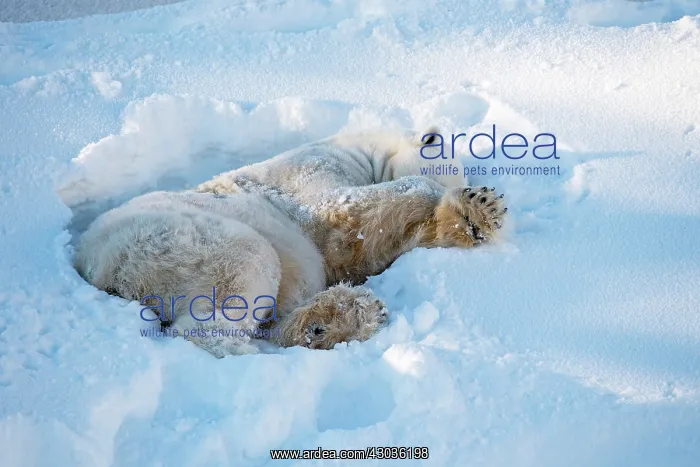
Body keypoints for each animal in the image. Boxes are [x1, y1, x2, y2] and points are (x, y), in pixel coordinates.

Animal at [73, 127, 507, 357]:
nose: (462, 189)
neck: (356, 147)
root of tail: (96, 268)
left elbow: (367, 245)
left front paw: (472, 221)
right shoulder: (311, 171)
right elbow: (346, 208)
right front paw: (478, 207)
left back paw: (334, 319)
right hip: (175, 239)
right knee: (242, 271)